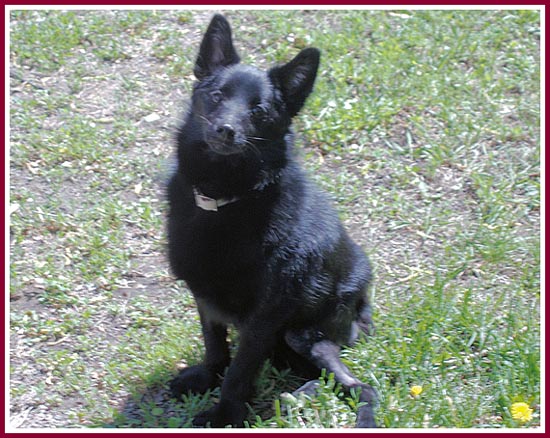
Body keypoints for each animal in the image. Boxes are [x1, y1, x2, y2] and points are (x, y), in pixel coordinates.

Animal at [166, 14, 378, 428]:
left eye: (259, 112)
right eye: (217, 96)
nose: (225, 130)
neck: (228, 200)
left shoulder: (264, 317)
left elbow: (240, 369)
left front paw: (225, 413)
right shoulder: (204, 296)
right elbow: (215, 345)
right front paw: (207, 376)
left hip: (303, 334)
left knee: (360, 387)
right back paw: (296, 396)